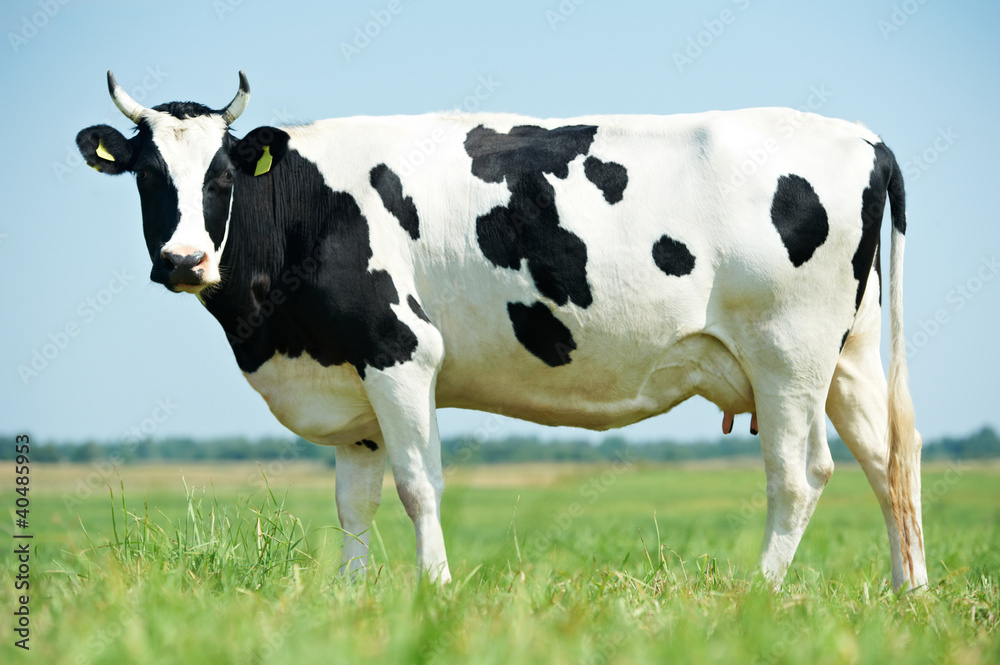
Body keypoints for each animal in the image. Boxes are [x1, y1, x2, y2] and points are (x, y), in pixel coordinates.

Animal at [78, 71, 928, 592]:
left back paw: (757, 591)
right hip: (848, 353)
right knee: (890, 459)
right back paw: (908, 593)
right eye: (148, 175)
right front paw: (351, 597)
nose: (183, 260)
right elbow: (355, 502)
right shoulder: (352, 379)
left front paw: (435, 589)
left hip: (787, 353)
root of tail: (862, 137)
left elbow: (419, 485)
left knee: (801, 474)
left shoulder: (399, 352)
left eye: (220, 176)